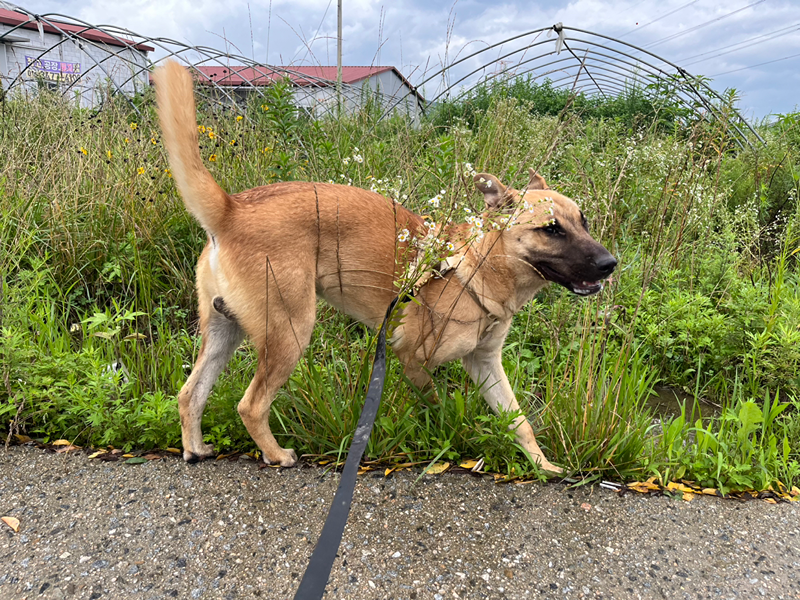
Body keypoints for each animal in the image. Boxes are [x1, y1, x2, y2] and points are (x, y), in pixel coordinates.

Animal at [153, 61, 616, 474]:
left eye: (583, 222)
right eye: (551, 229)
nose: (610, 264)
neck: (477, 271)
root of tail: (232, 209)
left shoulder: (487, 366)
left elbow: (520, 423)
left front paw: (543, 466)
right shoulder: (414, 361)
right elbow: (439, 407)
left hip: (223, 333)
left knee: (190, 394)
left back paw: (195, 448)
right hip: (290, 332)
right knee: (250, 405)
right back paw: (276, 454)